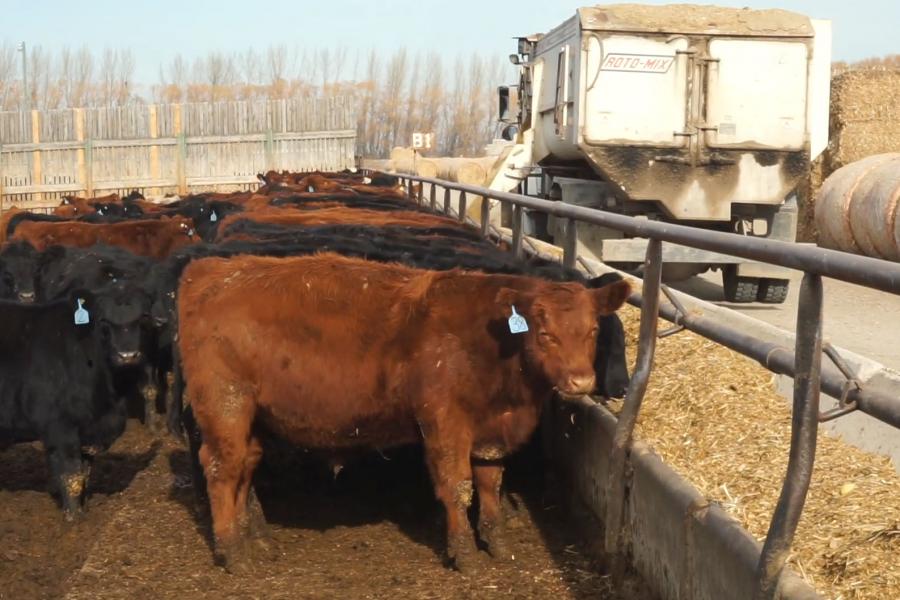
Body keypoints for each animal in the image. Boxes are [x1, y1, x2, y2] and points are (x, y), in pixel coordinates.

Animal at [177, 253, 631, 572]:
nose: (580, 381)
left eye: (593, 329)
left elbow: (490, 483)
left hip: (251, 415)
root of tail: (211, 269)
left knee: (245, 467)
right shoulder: (444, 421)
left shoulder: (491, 430)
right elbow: (457, 486)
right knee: (221, 470)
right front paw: (465, 554)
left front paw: (497, 542)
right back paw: (233, 552)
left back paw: (256, 540)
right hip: (225, 405)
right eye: (544, 332)